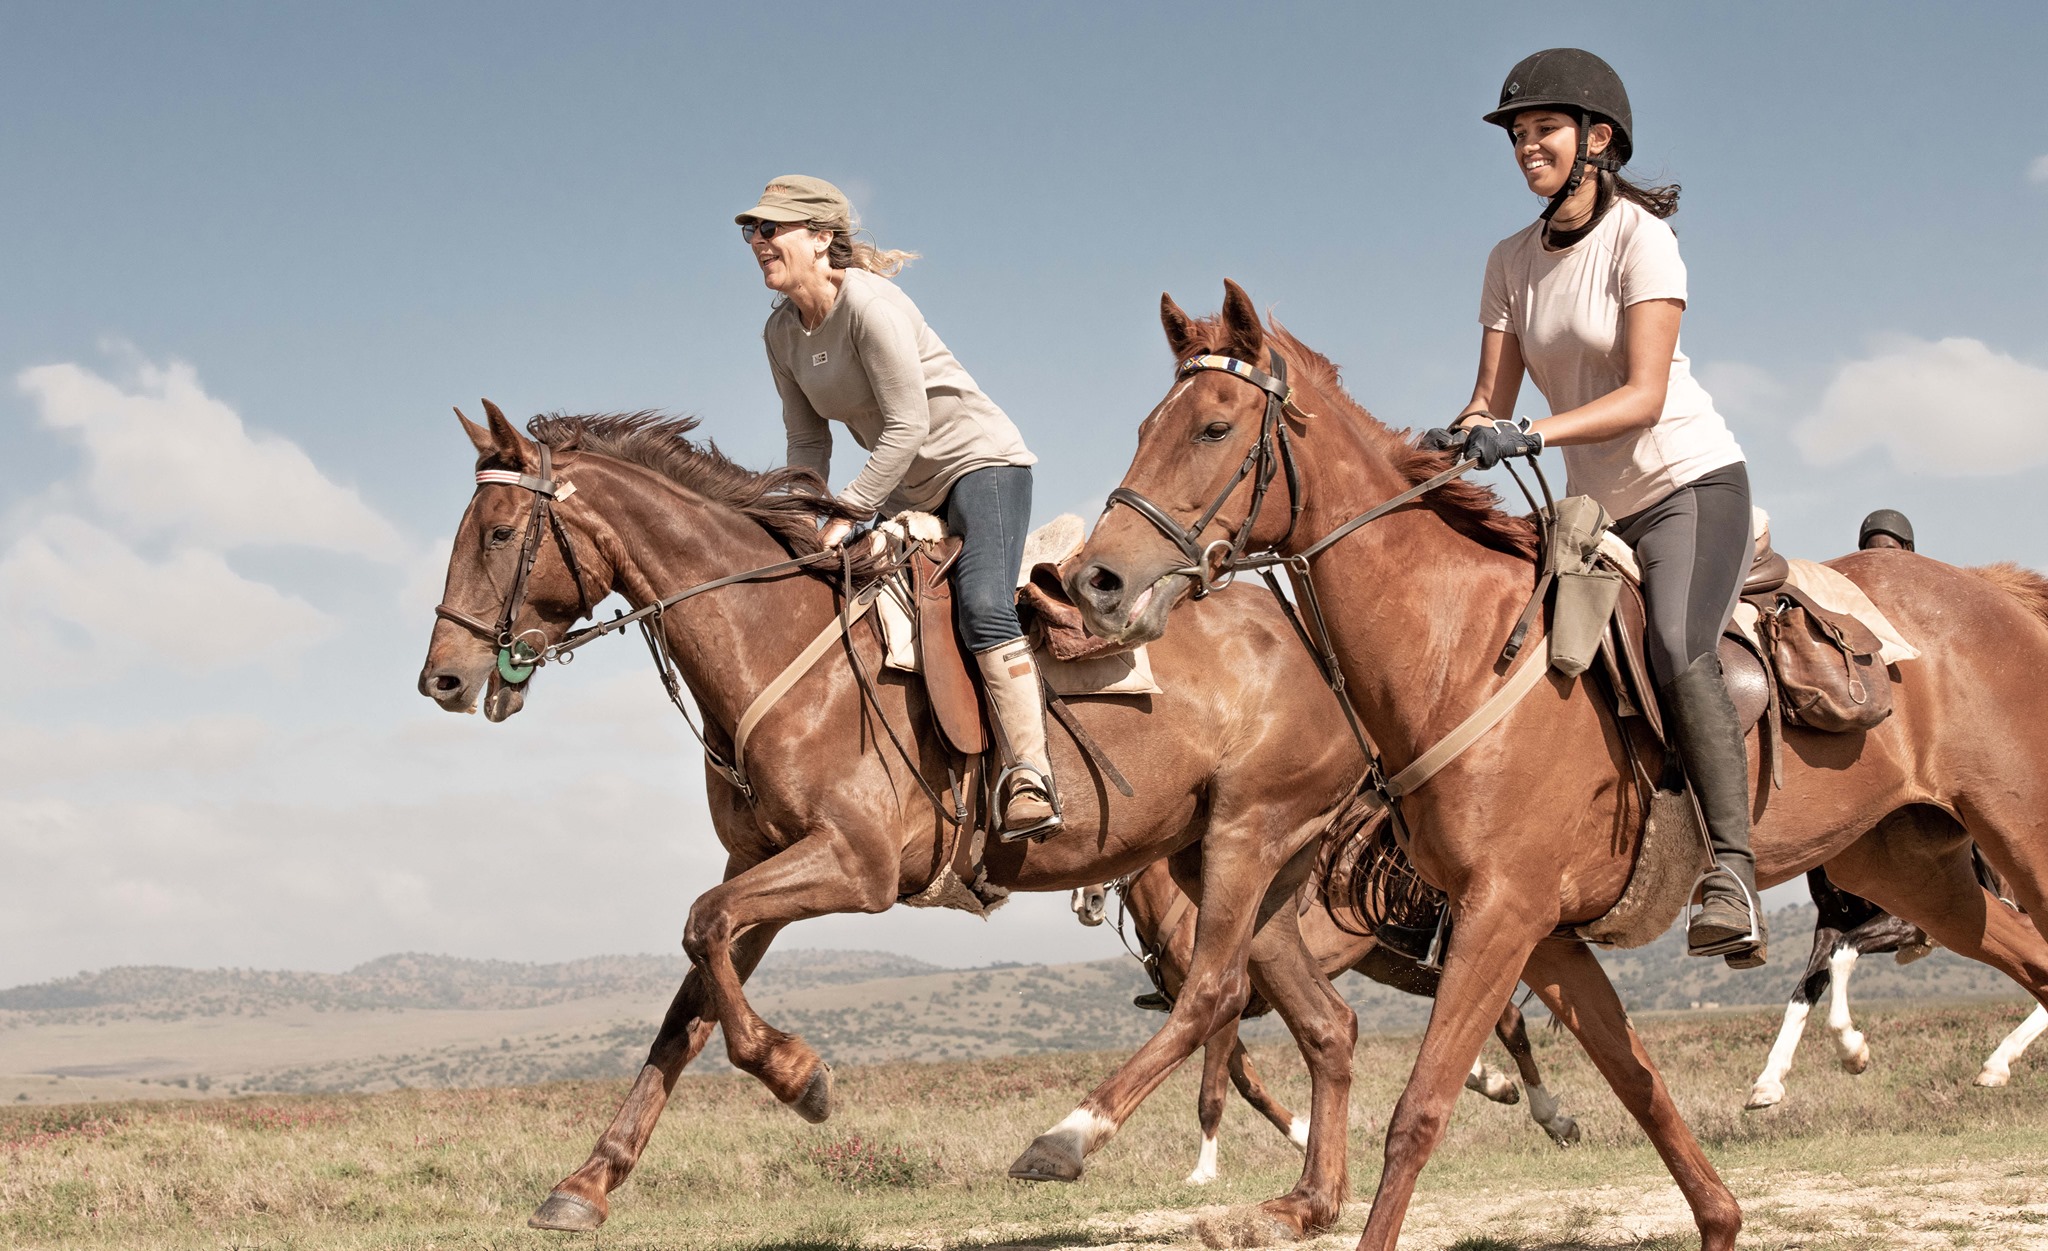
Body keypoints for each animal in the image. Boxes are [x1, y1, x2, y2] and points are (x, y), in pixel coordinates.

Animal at [411, 405, 1376, 1236]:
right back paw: (1313, 1199)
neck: (769, 636)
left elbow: (702, 928)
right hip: (1242, 868)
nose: (443, 679)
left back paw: (1065, 1140)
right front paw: (588, 1180)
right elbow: (688, 1003)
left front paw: (800, 1078)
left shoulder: (856, 863)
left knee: (1211, 992)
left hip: (1242, 840)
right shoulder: (758, 862)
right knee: (1327, 1022)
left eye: (500, 533)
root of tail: (1314, 649)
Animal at [1105, 851, 1581, 1187]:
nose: (1090, 901)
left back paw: (1548, 1116)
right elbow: (1249, 1085)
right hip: (1388, 961)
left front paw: (1204, 1171)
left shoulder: (1225, 1010)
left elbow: (1214, 1093)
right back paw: (1499, 1086)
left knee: (1507, 1020)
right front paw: (1302, 1133)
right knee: (1495, 1017)